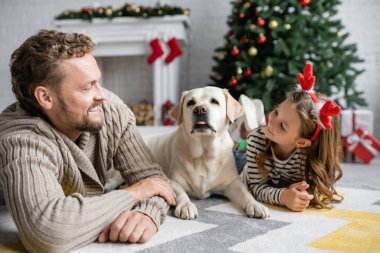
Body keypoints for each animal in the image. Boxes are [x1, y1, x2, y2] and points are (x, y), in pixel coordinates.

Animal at [144, 87, 268, 219]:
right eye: (190, 103)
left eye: (215, 101)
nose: (199, 109)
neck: (204, 155)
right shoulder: (173, 182)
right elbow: (181, 194)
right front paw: (186, 205)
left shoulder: (233, 183)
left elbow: (245, 193)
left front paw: (255, 204)